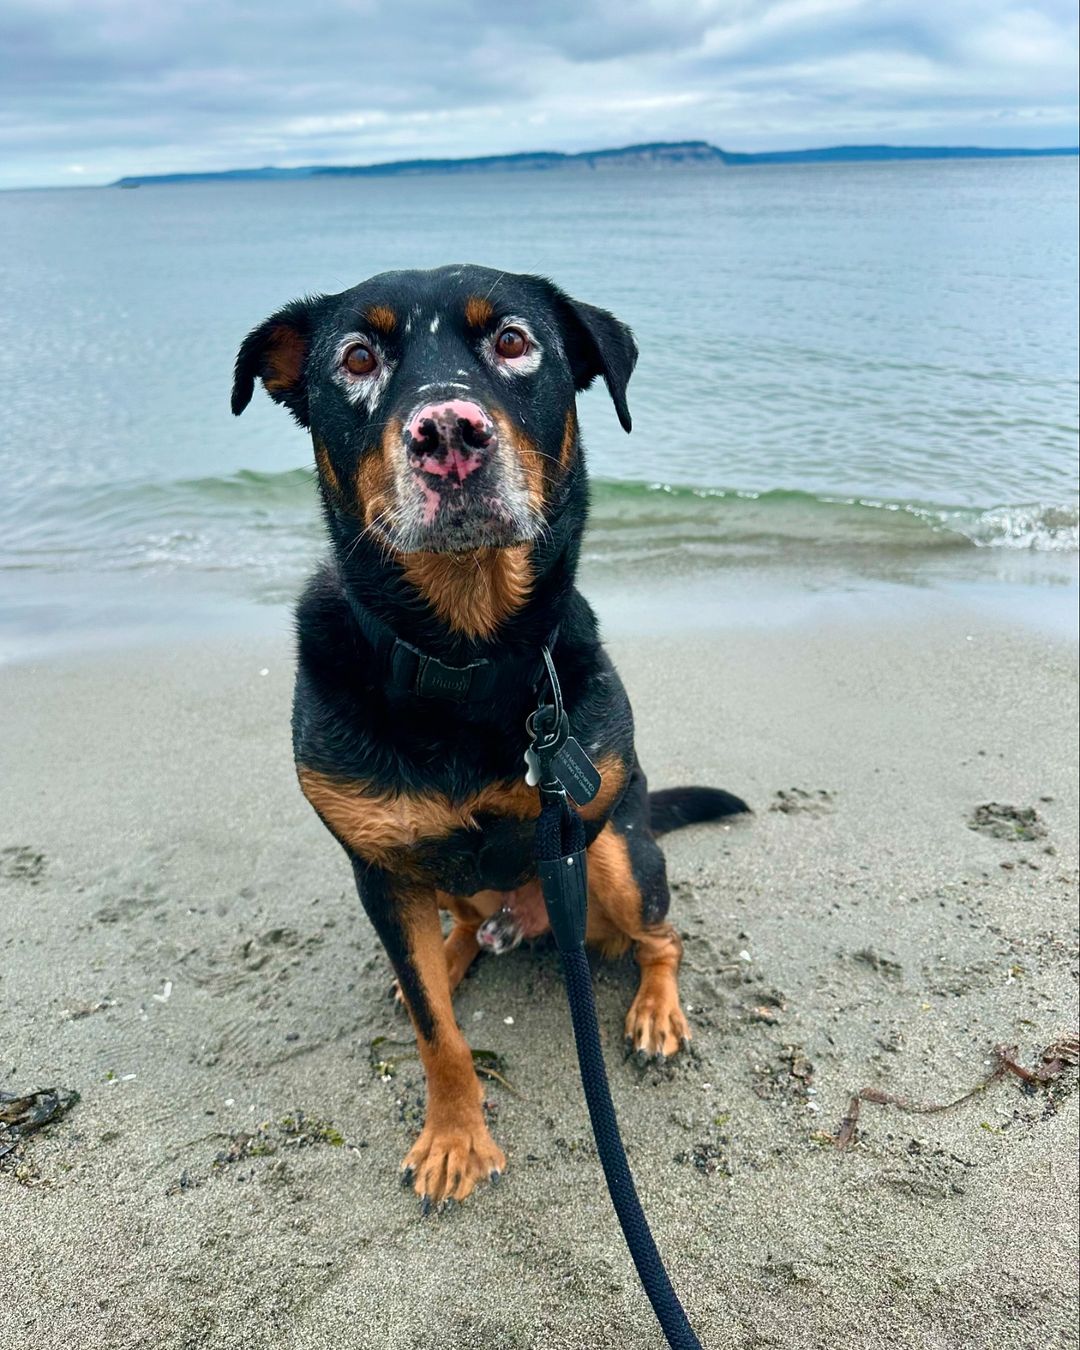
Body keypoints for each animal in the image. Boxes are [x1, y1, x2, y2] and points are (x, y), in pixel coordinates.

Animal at [232, 265, 745, 1215]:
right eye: (356, 358)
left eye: (512, 341)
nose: (447, 434)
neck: (462, 659)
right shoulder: (379, 869)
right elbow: (440, 1035)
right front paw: (454, 1137)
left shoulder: (583, 811)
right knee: (451, 939)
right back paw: (448, 954)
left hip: (619, 856)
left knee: (661, 934)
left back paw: (656, 1009)